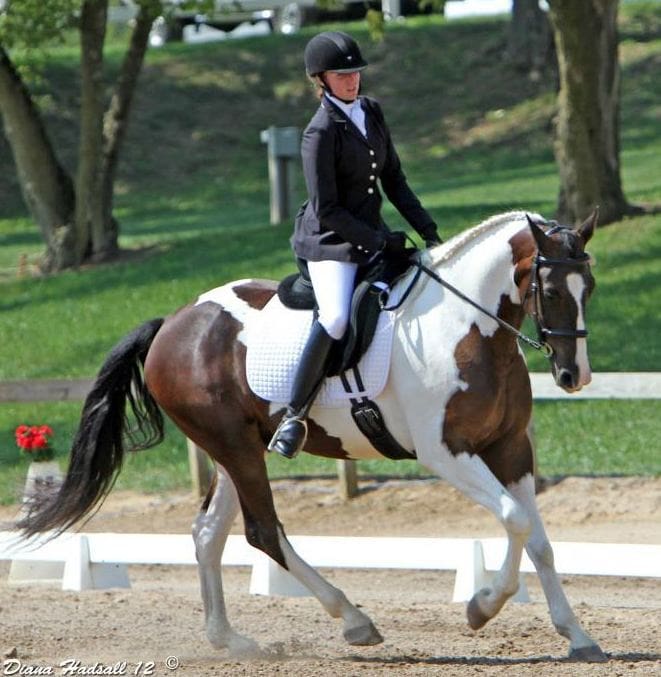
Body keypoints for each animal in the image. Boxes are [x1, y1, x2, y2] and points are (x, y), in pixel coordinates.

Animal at [15, 210, 604, 660]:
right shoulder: (446, 453)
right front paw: (481, 607)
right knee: (262, 532)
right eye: (551, 289)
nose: (573, 376)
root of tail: (173, 323)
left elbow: (538, 536)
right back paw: (354, 620)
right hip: (234, 447)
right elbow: (515, 519)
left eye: (590, 288)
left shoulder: (511, 447)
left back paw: (231, 640)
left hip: (236, 449)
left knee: (208, 533)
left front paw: (577, 636)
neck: (467, 330)